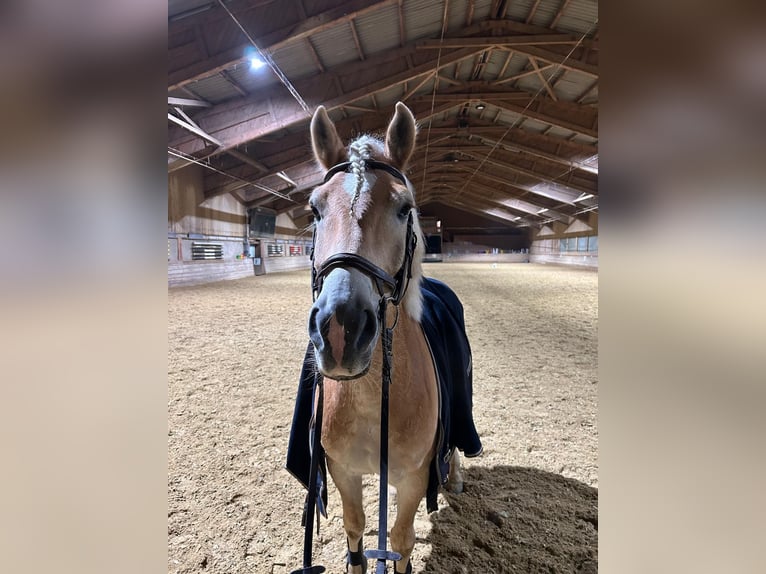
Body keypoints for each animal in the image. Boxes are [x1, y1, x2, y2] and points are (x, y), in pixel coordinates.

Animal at [306, 104, 468, 574]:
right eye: (315, 210)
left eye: (403, 208)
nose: (340, 329)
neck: (369, 397)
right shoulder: (343, 472)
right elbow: (357, 530)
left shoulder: (413, 479)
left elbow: (400, 540)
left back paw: (455, 475)